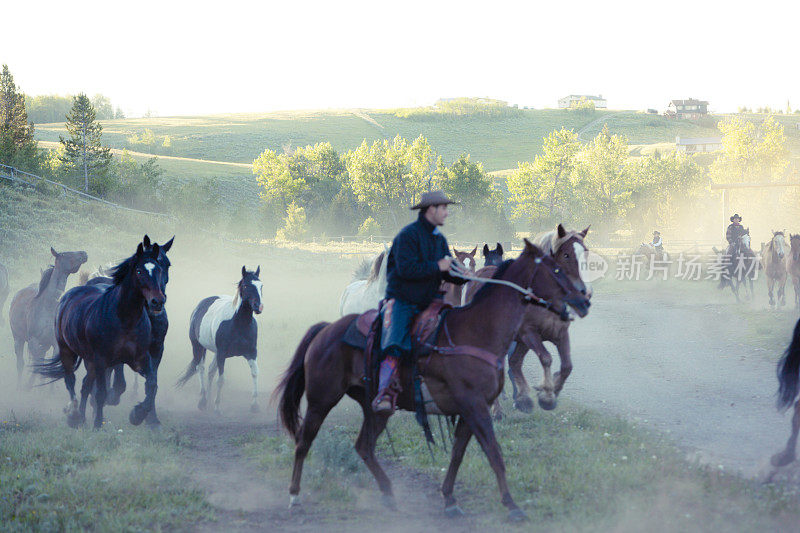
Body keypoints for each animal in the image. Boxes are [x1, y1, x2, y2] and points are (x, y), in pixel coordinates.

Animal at [8, 247, 87, 388]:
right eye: (64, 254)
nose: (84, 253)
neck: (48, 305)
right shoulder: (33, 342)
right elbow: (36, 365)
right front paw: (29, 387)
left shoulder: (54, 344)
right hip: (18, 339)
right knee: (20, 363)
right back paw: (19, 386)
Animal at [177, 264, 264, 412]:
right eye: (246, 285)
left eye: (261, 285)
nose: (259, 307)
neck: (239, 324)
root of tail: (200, 305)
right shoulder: (222, 354)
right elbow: (221, 379)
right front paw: (217, 407)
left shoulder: (251, 352)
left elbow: (255, 373)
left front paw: (255, 405)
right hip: (198, 347)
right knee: (201, 368)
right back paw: (202, 400)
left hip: (215, 352)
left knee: (210, 371)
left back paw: (208, 398)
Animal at [272, 239, 592, 516]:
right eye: (556, 269)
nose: (584, 298)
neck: (478, 329)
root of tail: (325, 330)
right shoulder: (474, 406)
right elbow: (494, 453)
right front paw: (512, 506)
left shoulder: (469, 411)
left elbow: (458, 455)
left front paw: (450, 499)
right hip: (321, 399)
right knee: (303, 442)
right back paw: (294, 496)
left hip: (375, 408)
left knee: (364, 446)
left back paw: (389, 494)